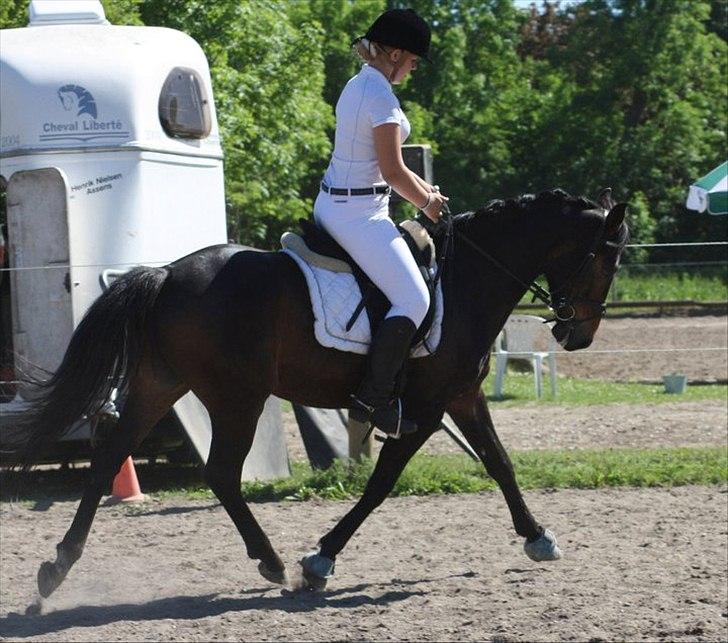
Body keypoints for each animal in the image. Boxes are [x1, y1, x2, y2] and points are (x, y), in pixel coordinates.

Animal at [9, 186, 624, 600]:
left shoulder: (461, 398)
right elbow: (380, 484)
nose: (578, 334)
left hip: (161, 385)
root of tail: (166, 274)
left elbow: (499, 463)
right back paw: (272, 562)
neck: (467, 278)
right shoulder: (424, 411)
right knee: (221, 474)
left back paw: (57, 567)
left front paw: (538, 537)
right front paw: (319, 560)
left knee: (111, 456)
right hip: (238, 397)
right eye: (608, 258)